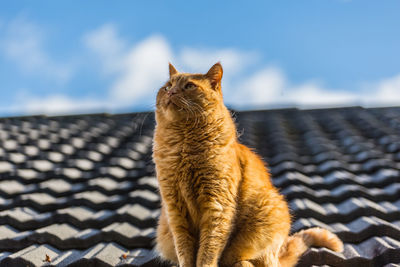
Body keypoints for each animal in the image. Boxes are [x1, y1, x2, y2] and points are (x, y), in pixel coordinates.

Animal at [152, 62, 342, 267]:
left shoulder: (218, 208)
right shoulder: (175, 211)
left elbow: (208, 251)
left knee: (246, 259)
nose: (172, 92)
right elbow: (185, 251)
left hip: (266, 214)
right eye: (167, 87)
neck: (184, 147)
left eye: (189, 86)